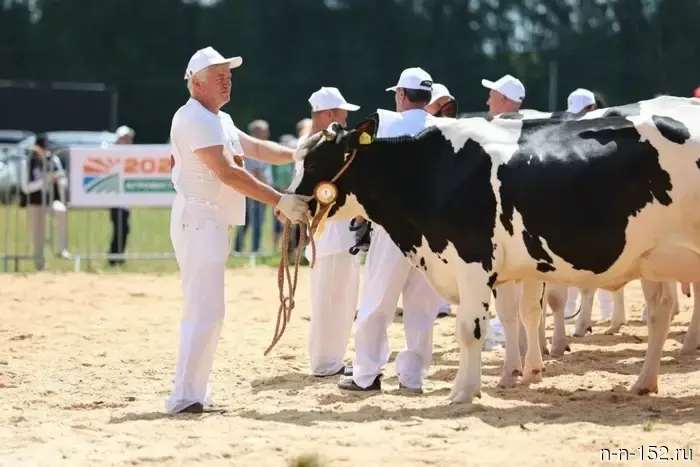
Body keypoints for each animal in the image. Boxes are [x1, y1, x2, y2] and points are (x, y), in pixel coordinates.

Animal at [289, 98, 700, 404]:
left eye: (314, 160)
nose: (285, 205)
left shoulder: (472, 261)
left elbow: (470, 329)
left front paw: (464, 393)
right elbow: (511, 317)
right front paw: (508, 375)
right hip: (656, 260)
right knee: (660, 312)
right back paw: (644, 383)